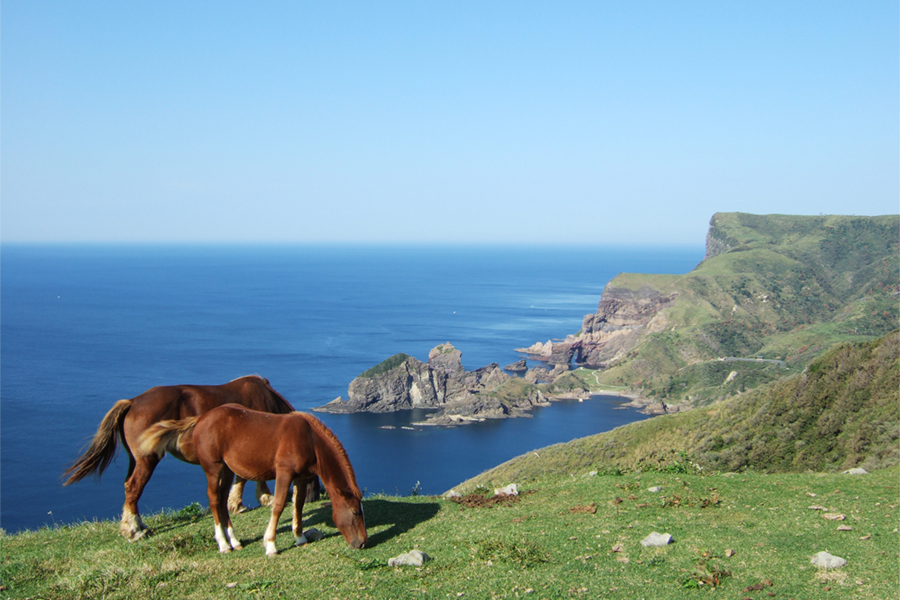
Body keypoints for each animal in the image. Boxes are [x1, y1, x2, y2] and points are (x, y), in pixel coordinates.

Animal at [60, 376, 298, 540]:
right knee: (134, 486)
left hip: (135, 459)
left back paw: (137, 525)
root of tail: (132, 402)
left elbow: (241, 477)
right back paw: (134, 530)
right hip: (147, 458)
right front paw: (265, 497)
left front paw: (237, 504)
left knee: (128, 485)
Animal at [141, 406, 366, 556]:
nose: (363, 543)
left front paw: (300, 537)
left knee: (222, 501)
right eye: (355, 512)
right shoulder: (284, 474)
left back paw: (235, 541)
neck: (309, 439)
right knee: (213, 499)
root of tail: (202, 418)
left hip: (227, 469)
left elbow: (299, 505)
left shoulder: (301, 478)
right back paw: (223, 544)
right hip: (213, 468)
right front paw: (271, 544)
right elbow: (278, 506)